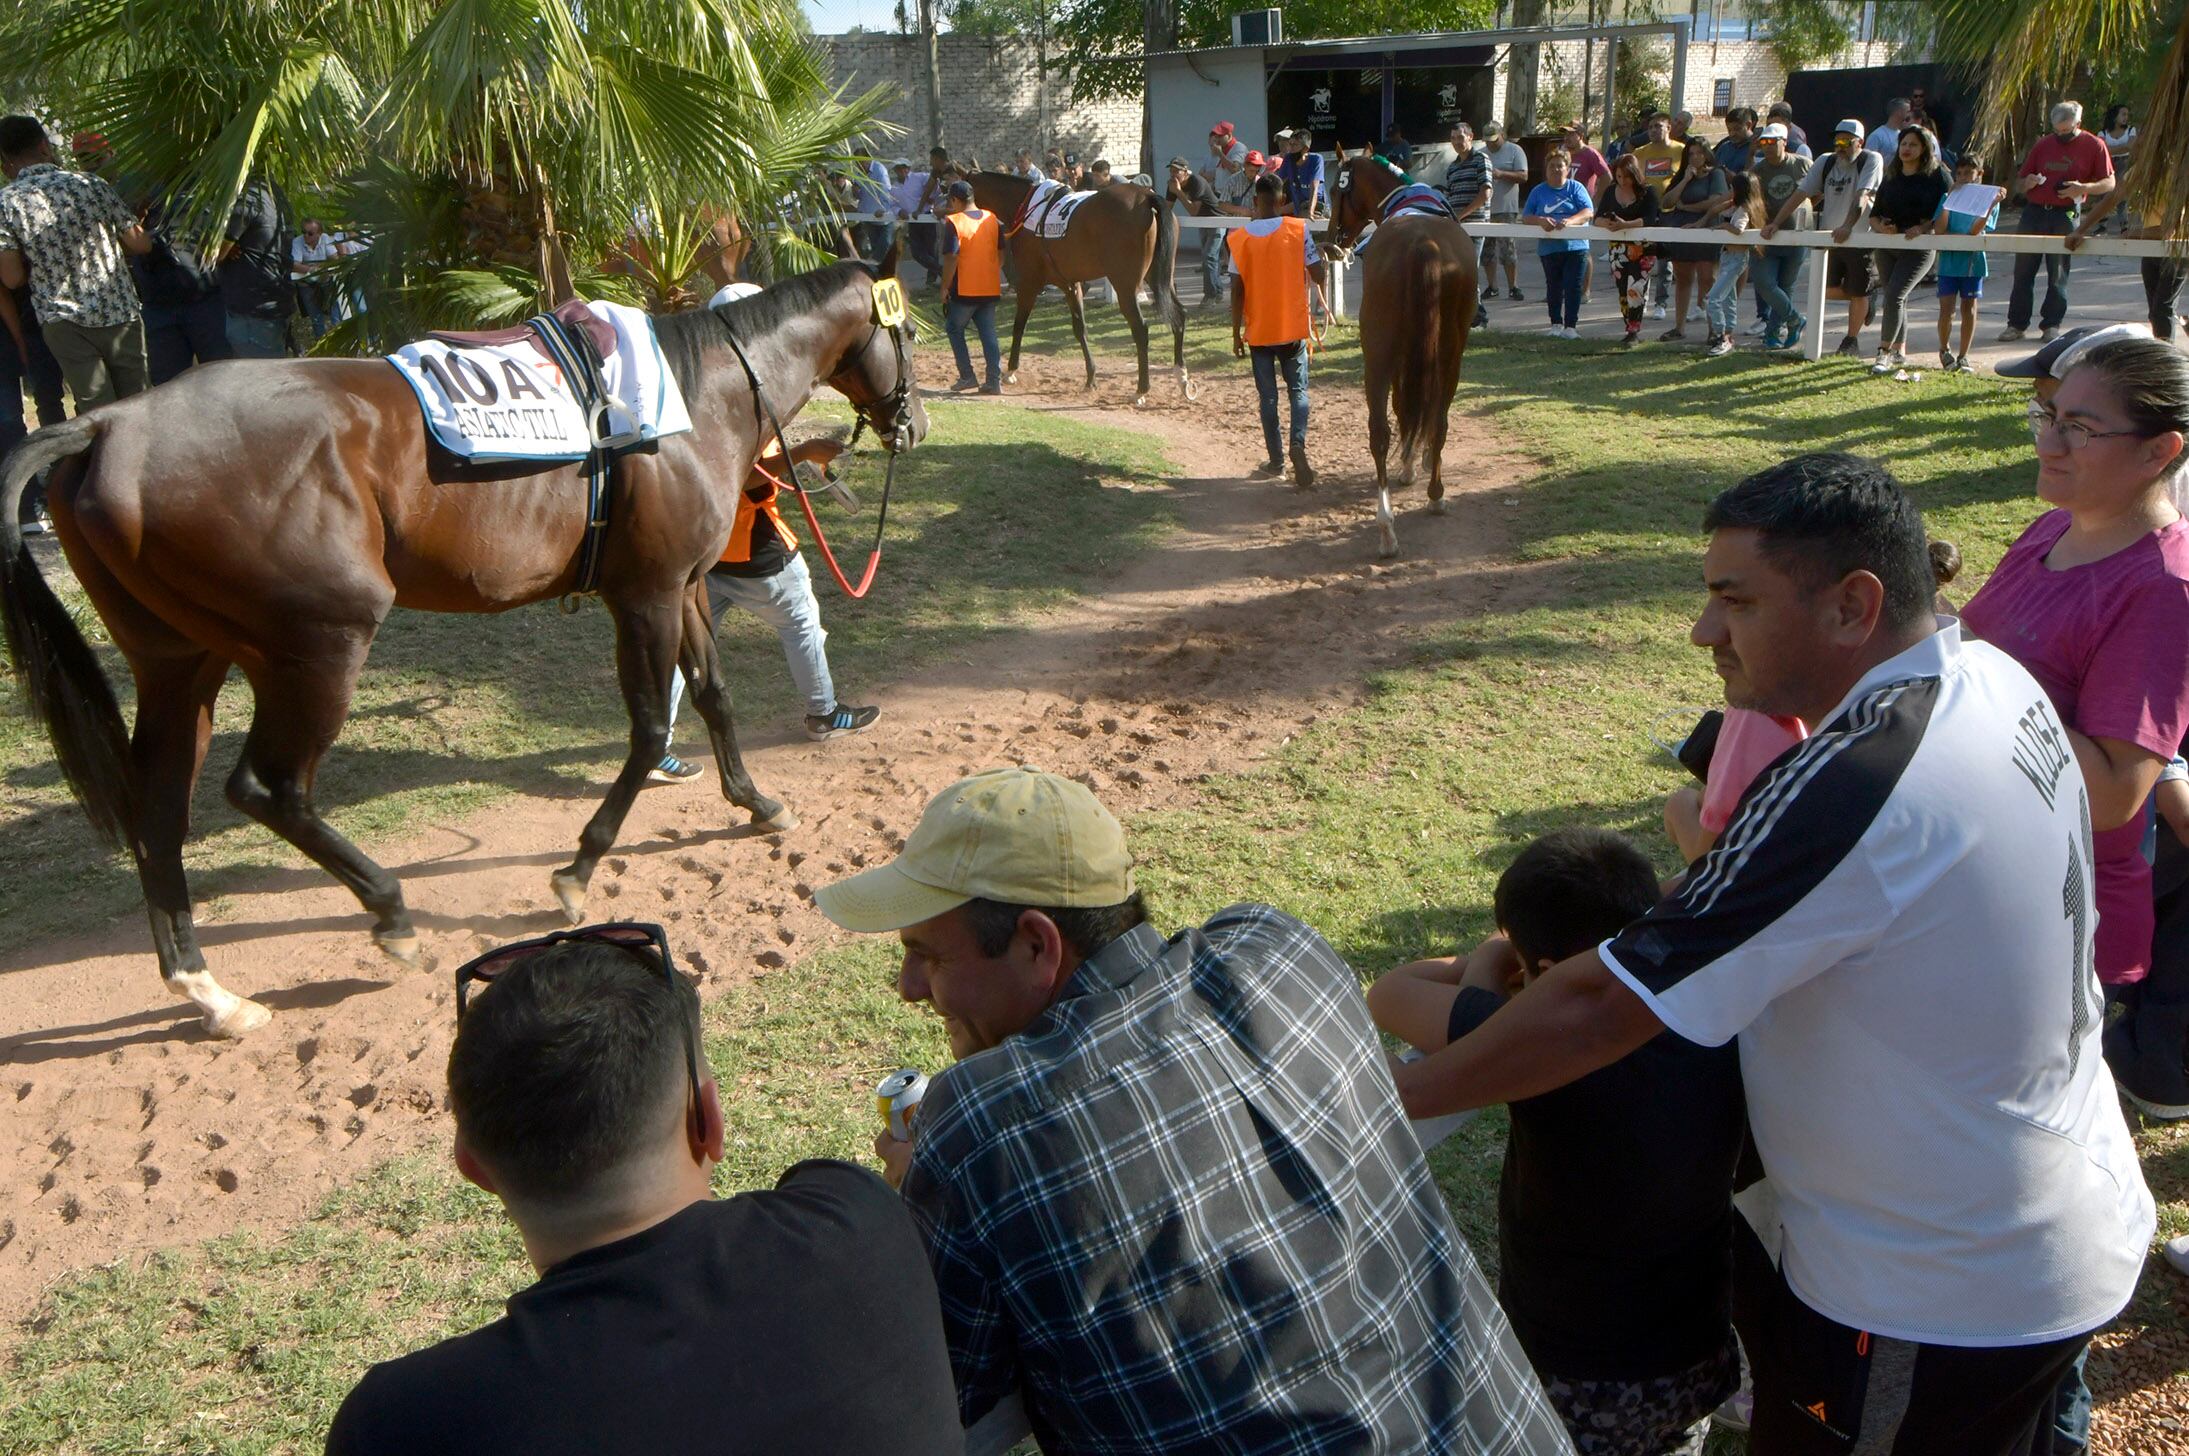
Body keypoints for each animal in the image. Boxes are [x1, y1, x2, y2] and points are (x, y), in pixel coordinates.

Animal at [0, 261, 928, 1033]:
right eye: (908, 330)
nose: (912, 421)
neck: (695, 396)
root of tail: (109, 424)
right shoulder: (647, 595)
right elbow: (648, 729)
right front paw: (578, 868)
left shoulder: (685, 587)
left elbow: (711, 697)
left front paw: (756, 801)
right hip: (318, 644)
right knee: (267, 787)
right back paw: (390, 912)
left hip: (179, 660)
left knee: (158, 809)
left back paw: (208, 990)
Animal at [967, 172, 1190, 405]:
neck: (1024, 207)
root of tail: (1146, 197)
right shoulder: (1070, 285)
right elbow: (1079, 328)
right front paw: (1091, 377)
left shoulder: (1029, 282)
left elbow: (1019, 325)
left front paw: (1010, 371)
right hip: (1159, 277)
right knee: (1179, 315)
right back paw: (1181, 376)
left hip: (1125, 285)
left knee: (1141, 329)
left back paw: (1141, 390)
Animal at [1322, 149, 1479, 553]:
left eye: (1336, 189)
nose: (1330, 241)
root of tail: (1422, 243)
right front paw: (1414, 463)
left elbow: (1405, 407)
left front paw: (1410, 464)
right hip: (1447, 354)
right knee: (1434, 418)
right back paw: (1432, 496)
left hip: (1381, 353)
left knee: (1384, 430)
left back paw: (1387, 525)